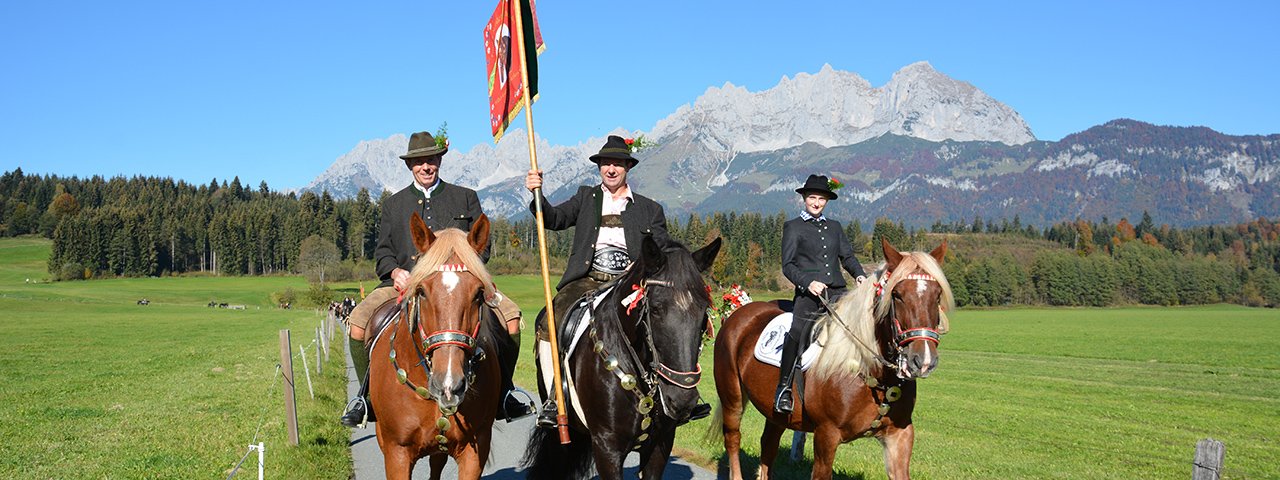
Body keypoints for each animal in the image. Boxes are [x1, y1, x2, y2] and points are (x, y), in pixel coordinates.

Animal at [711, 240, 952, 480]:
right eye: (898, 295)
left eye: (937, 295)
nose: (923, 360)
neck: (872, 372)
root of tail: (741, 313)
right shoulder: (826, 434)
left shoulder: (899, 435)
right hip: (732, 397)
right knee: (733, 438)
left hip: (775, 414)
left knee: (768, 444)